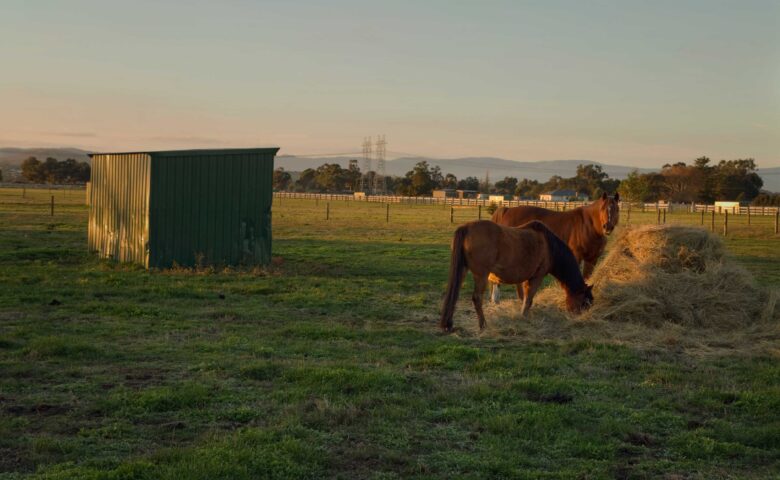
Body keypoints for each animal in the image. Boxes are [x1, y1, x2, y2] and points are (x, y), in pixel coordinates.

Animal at [438, 219, 592, 332]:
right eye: (585, 303)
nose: (580, 318)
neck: (549, 246)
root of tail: (467, 228)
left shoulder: (526, 278)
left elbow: (524, 297)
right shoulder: (537, 277)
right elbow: (528, 299)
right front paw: (524, 316)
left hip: (463, 270)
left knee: (454, 294)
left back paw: (448, 324)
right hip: (481, 275)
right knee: (477, 298)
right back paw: (483, 325)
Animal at [488, 193, 620, 302]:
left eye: (616, 209)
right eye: (603, 208)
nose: (607, 227)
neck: (588, 226)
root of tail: (507, 210)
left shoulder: (592, 259)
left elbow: (587, 278)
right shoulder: (576, 256)